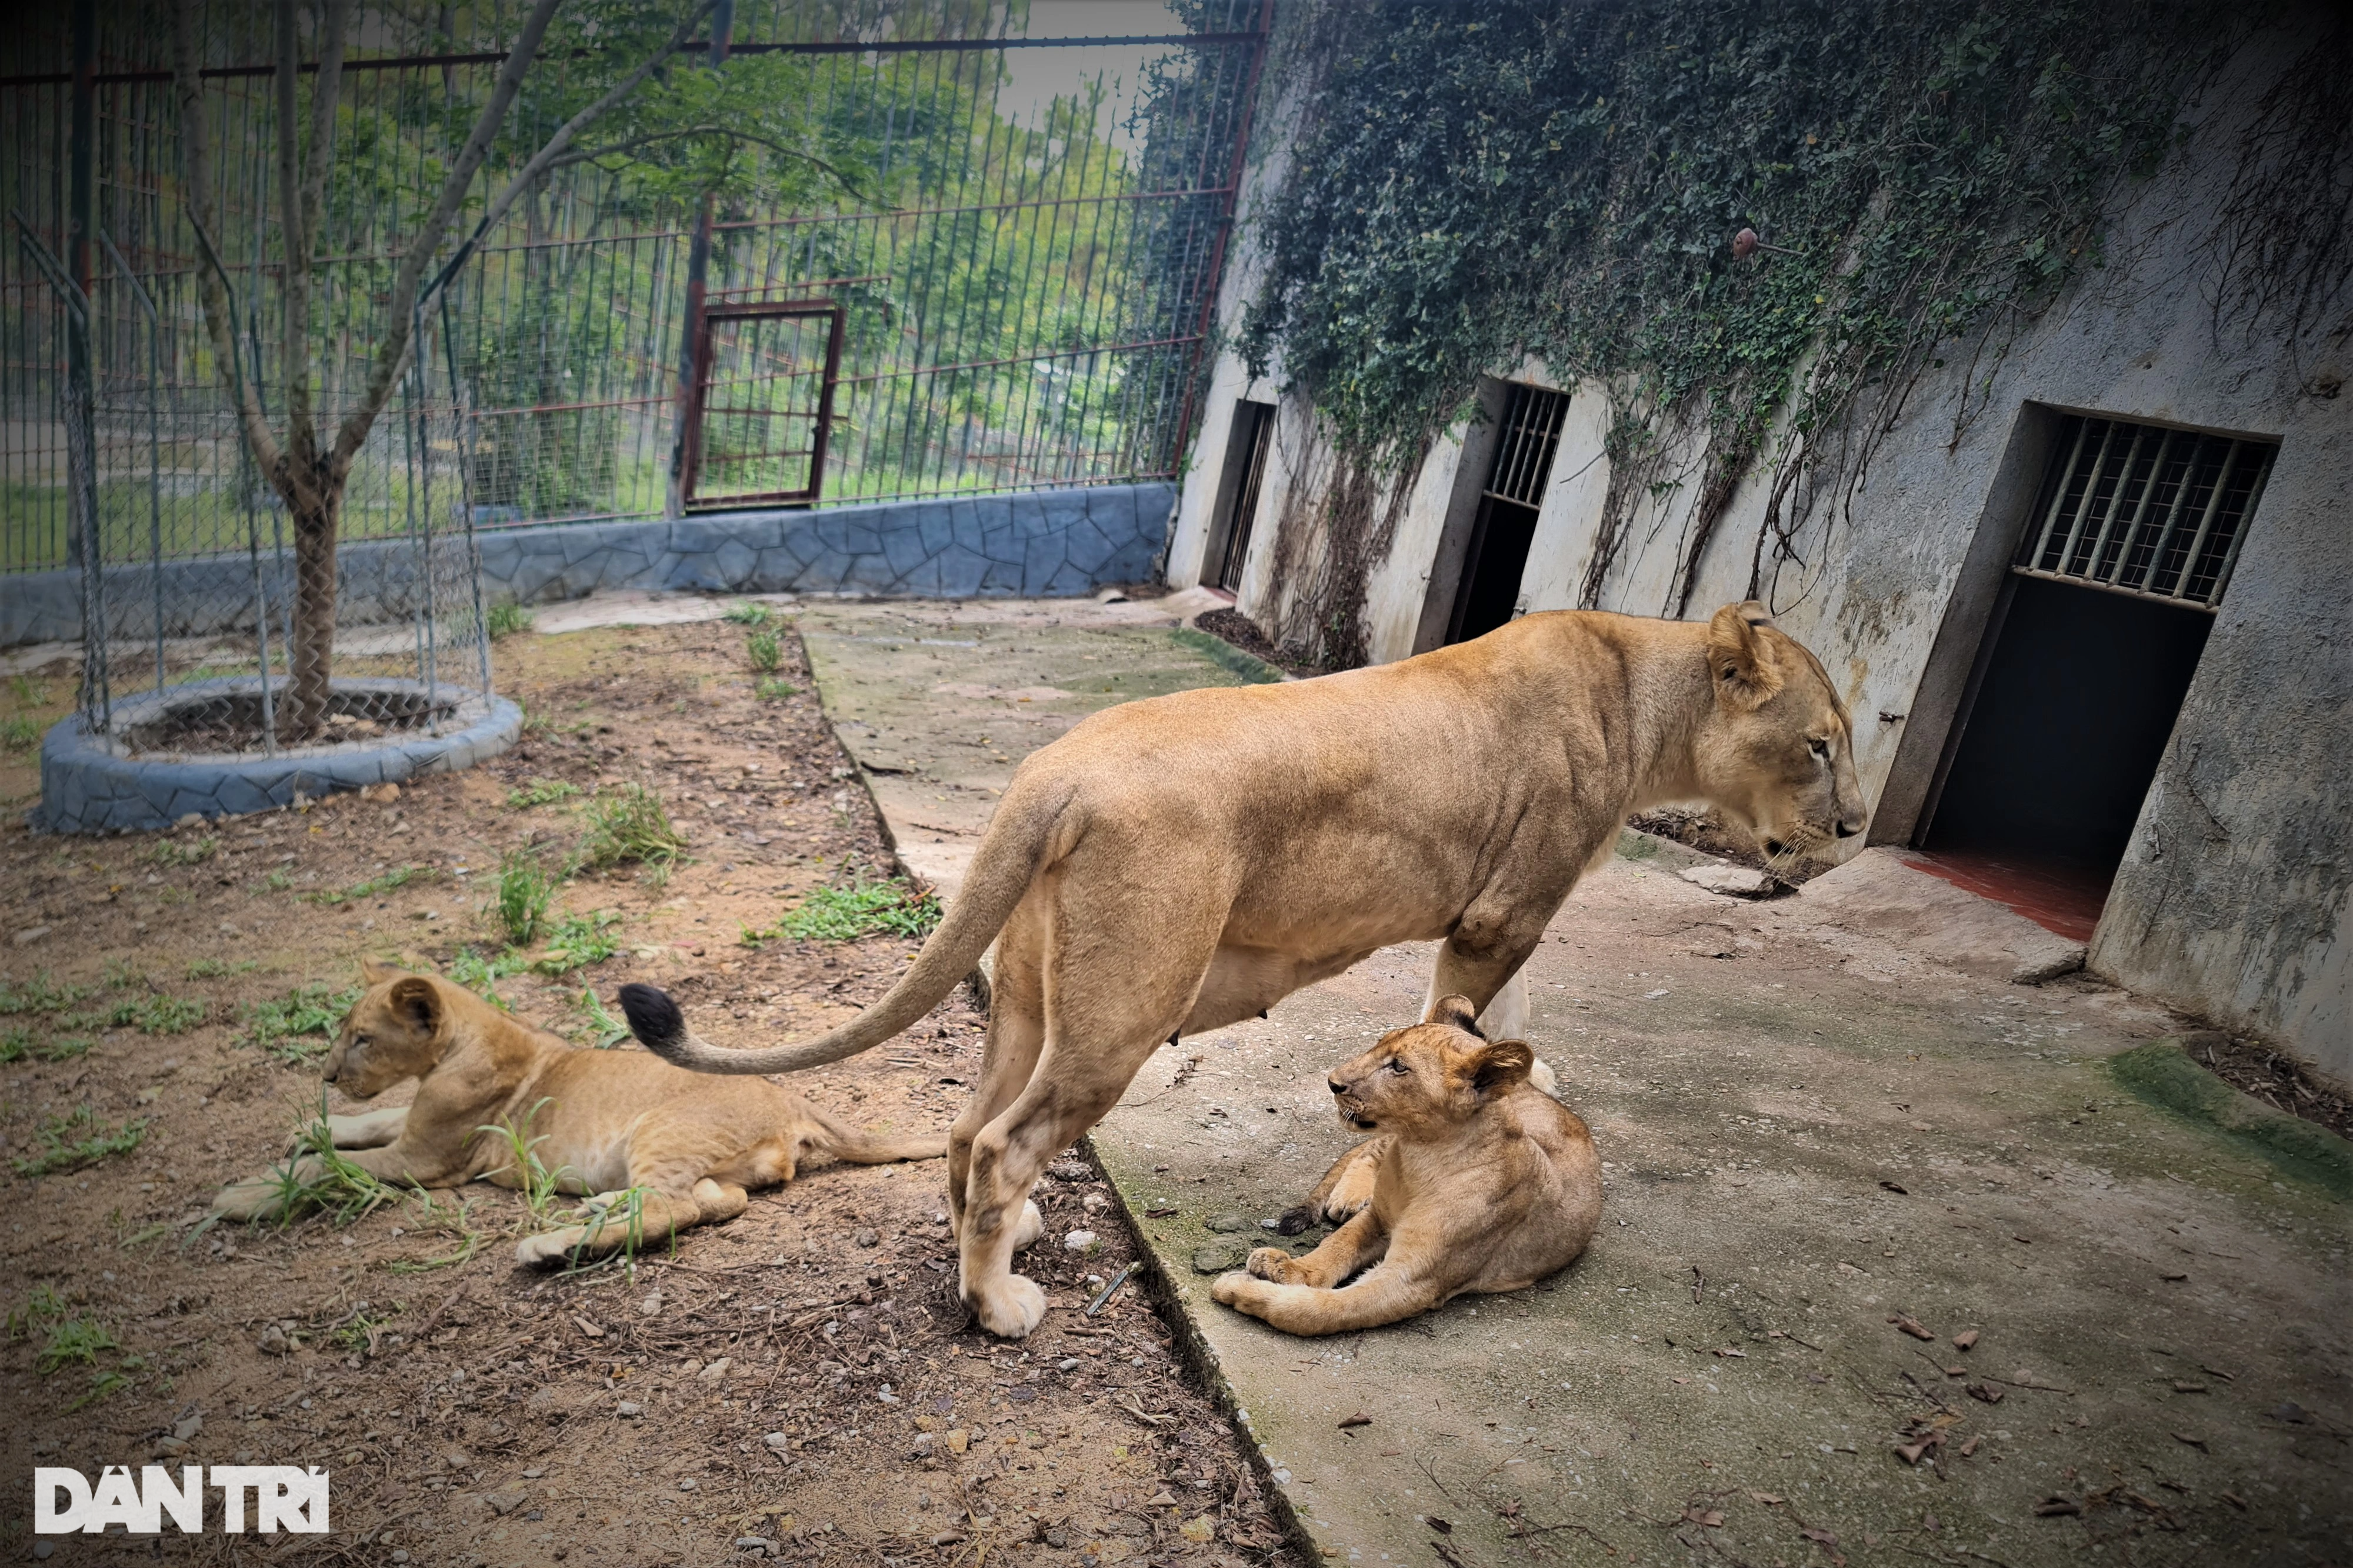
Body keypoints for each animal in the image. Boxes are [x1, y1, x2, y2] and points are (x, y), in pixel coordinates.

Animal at [621, 598, 1854, 1327]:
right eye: (1821, 743)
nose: (1851, 829)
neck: (1645, 695)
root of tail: (1055, 765)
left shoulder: (1511, 916)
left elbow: (1494, 1026)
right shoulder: (1504, 911)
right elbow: (1471, 1020)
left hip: (1028, 996)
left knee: (971, 1128)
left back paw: (1007, 1248)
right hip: (1123, 1009)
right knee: (1013, 1140)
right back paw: (1000, 1308)